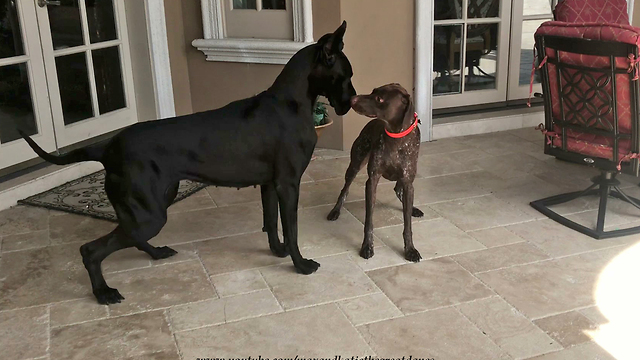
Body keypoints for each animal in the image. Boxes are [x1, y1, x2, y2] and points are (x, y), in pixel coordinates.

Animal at [328, 82, 422, 260]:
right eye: (373, 91)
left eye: (380, 99)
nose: (352, 99)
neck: (395, 137)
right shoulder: (372, 181)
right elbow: (368, 221)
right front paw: (367, 246)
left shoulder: (408, 181)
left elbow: (407, 223)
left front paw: (410, 249)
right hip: (355, 164)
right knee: (345, 189)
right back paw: (335, 211)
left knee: (399, 190)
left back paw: (412, 208)